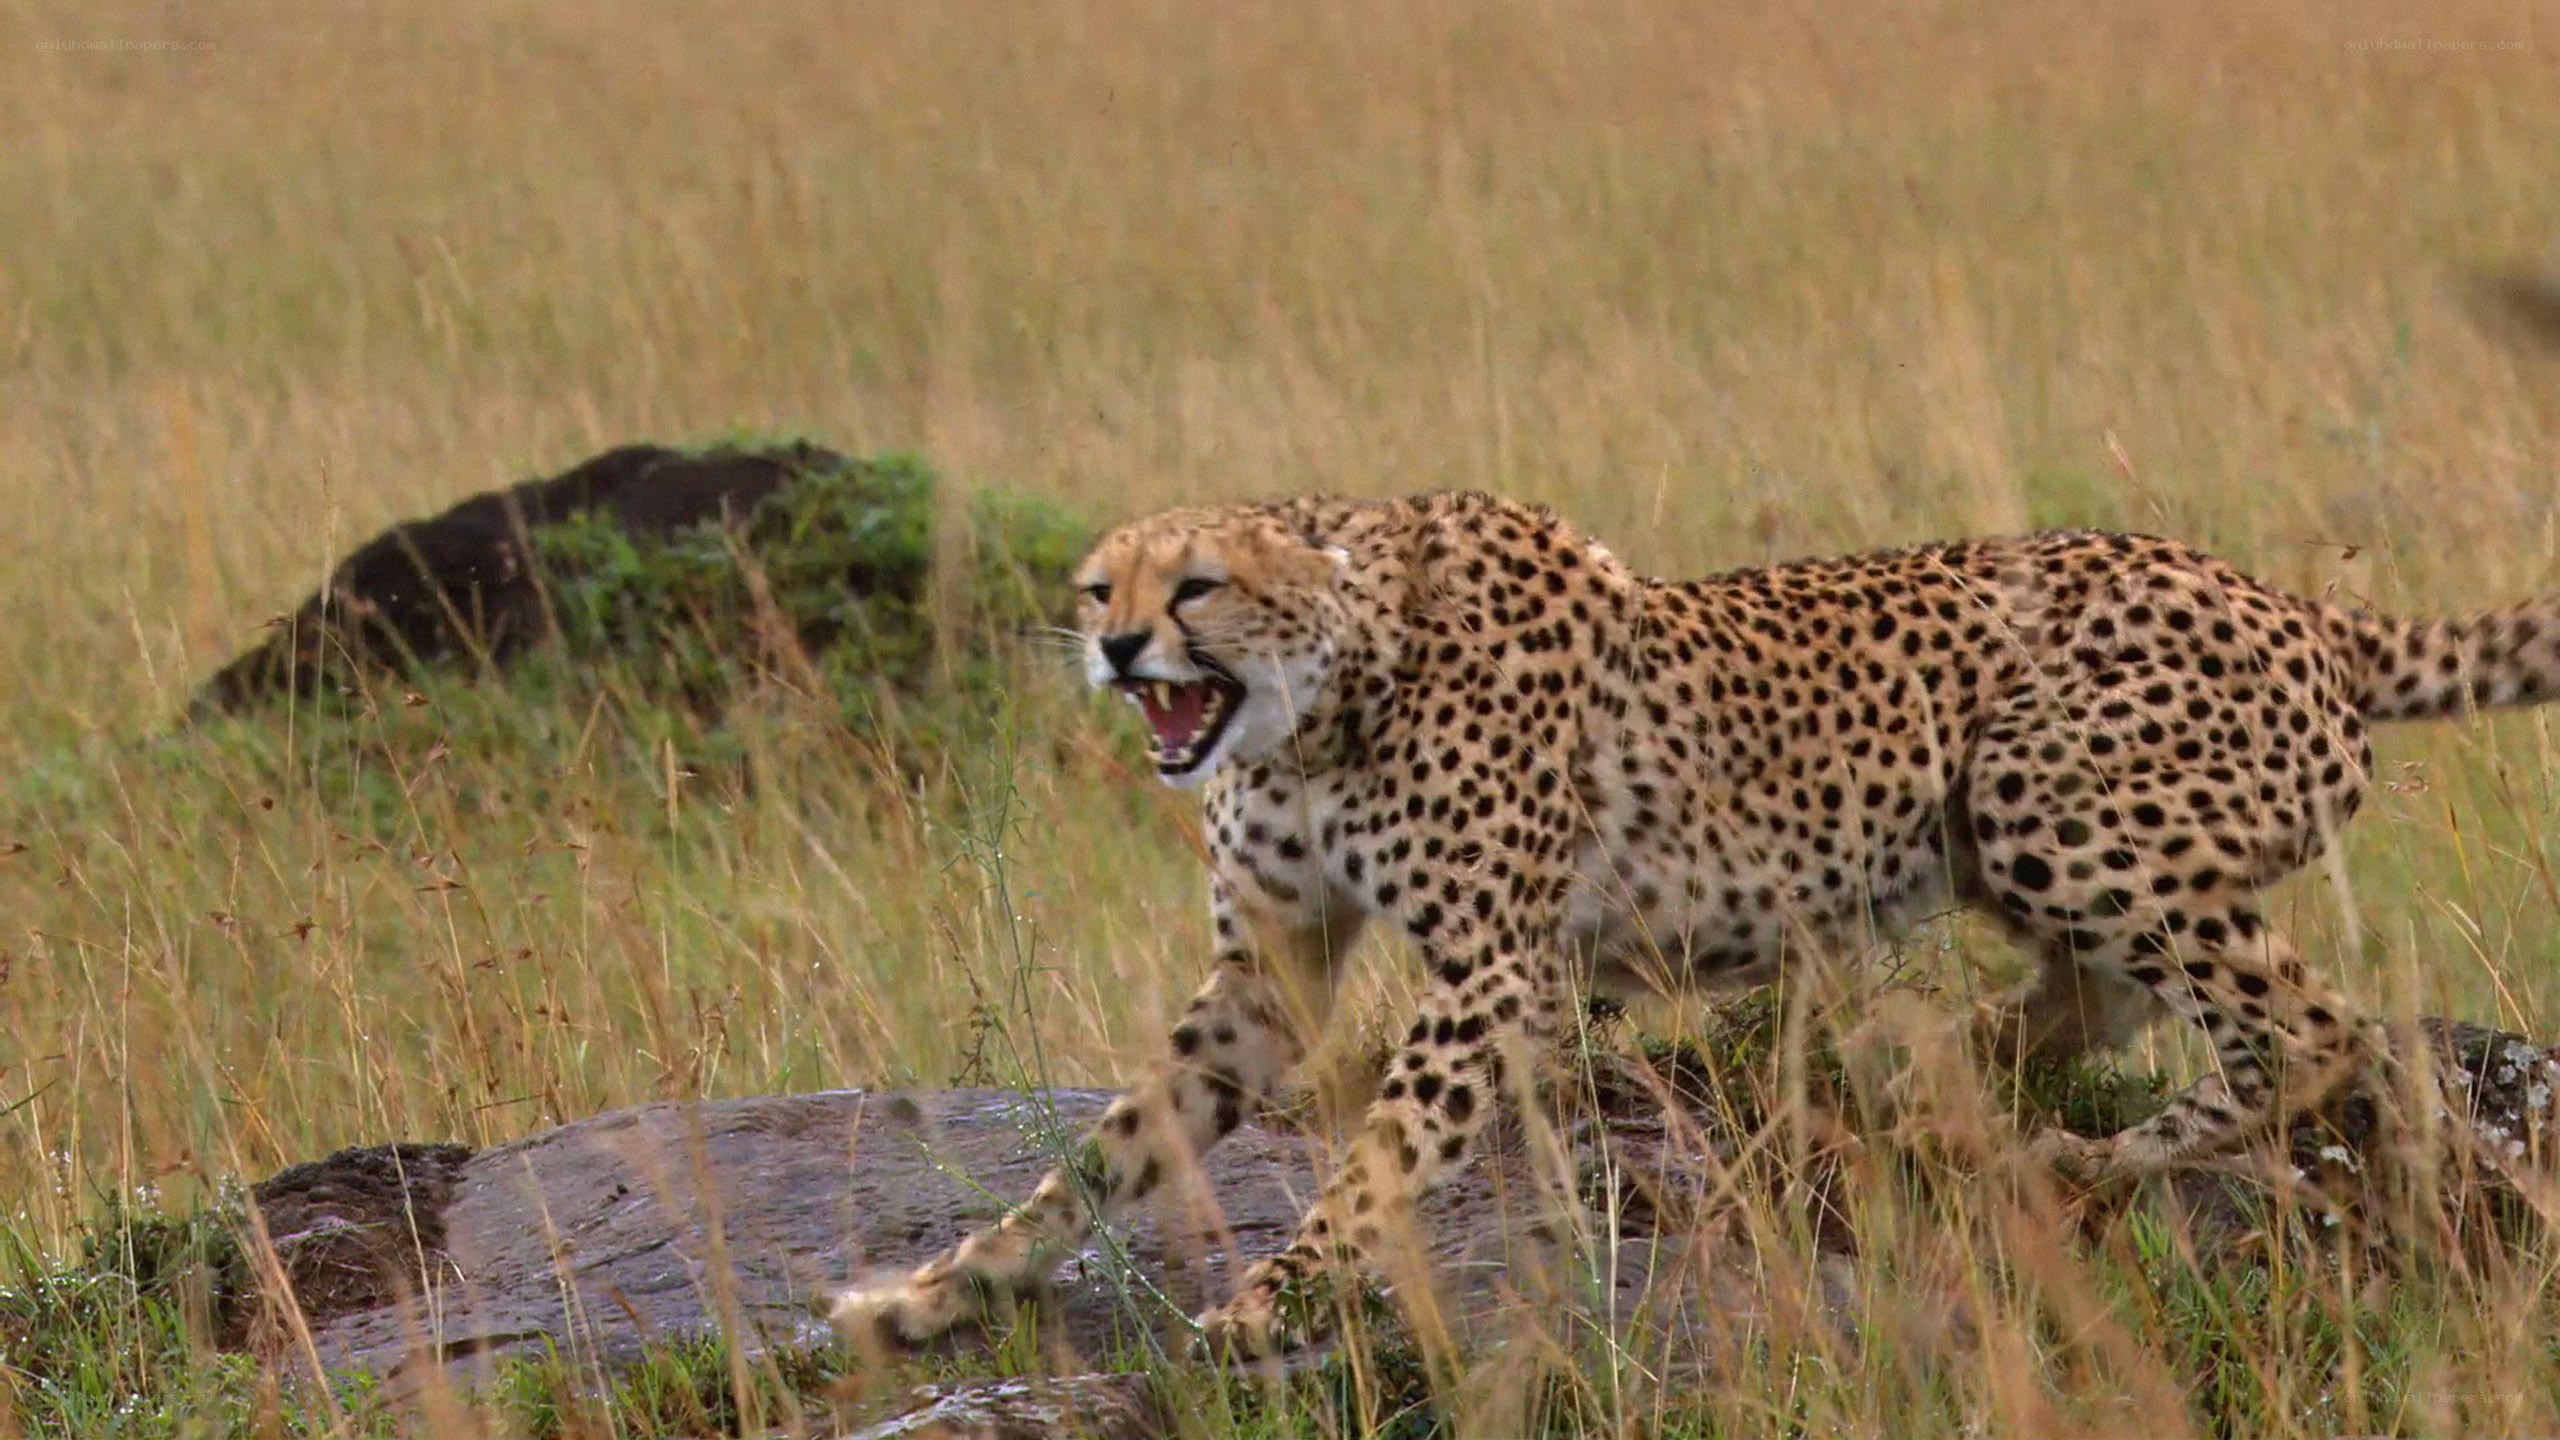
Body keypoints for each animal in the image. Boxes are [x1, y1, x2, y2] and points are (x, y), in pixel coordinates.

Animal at [831, 489, 2560, 1361]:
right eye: (1096, 584)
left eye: (1193, 588)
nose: (1118, 648)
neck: (1318, 701)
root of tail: (2295, 602)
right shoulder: (1265, 977)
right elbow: (1110, 1147)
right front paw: (943, 1290)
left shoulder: (1495, 971)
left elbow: (1377, 1153)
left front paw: (1279, 1296)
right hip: (2022, 842)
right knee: (2121, 1003)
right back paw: (1948, 1102)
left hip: (2044, 796)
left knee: (2305, 1026)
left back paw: (2046, 1145)